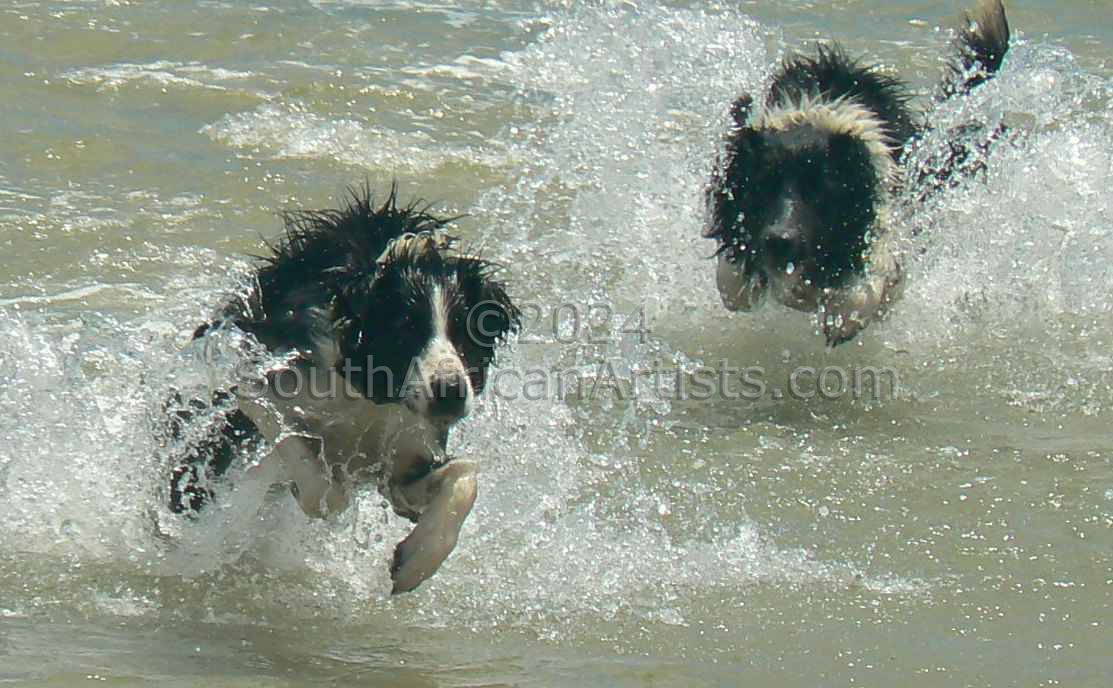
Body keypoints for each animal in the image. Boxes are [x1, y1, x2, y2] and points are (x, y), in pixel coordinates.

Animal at [162, 185, 518, 587]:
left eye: (468, 330)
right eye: (405, 328)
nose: (451, 394)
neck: (370, 391)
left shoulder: (407, 453)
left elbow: (465, 475)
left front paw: (417, 559)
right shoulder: (255, 378)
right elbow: (299, 452)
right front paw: (319, 491)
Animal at [707, 0, 1015, 342]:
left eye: (818, 190)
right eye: (763, 185)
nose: (779, 241)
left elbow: (870, 277)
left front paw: (843, 317)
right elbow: (732, 278)